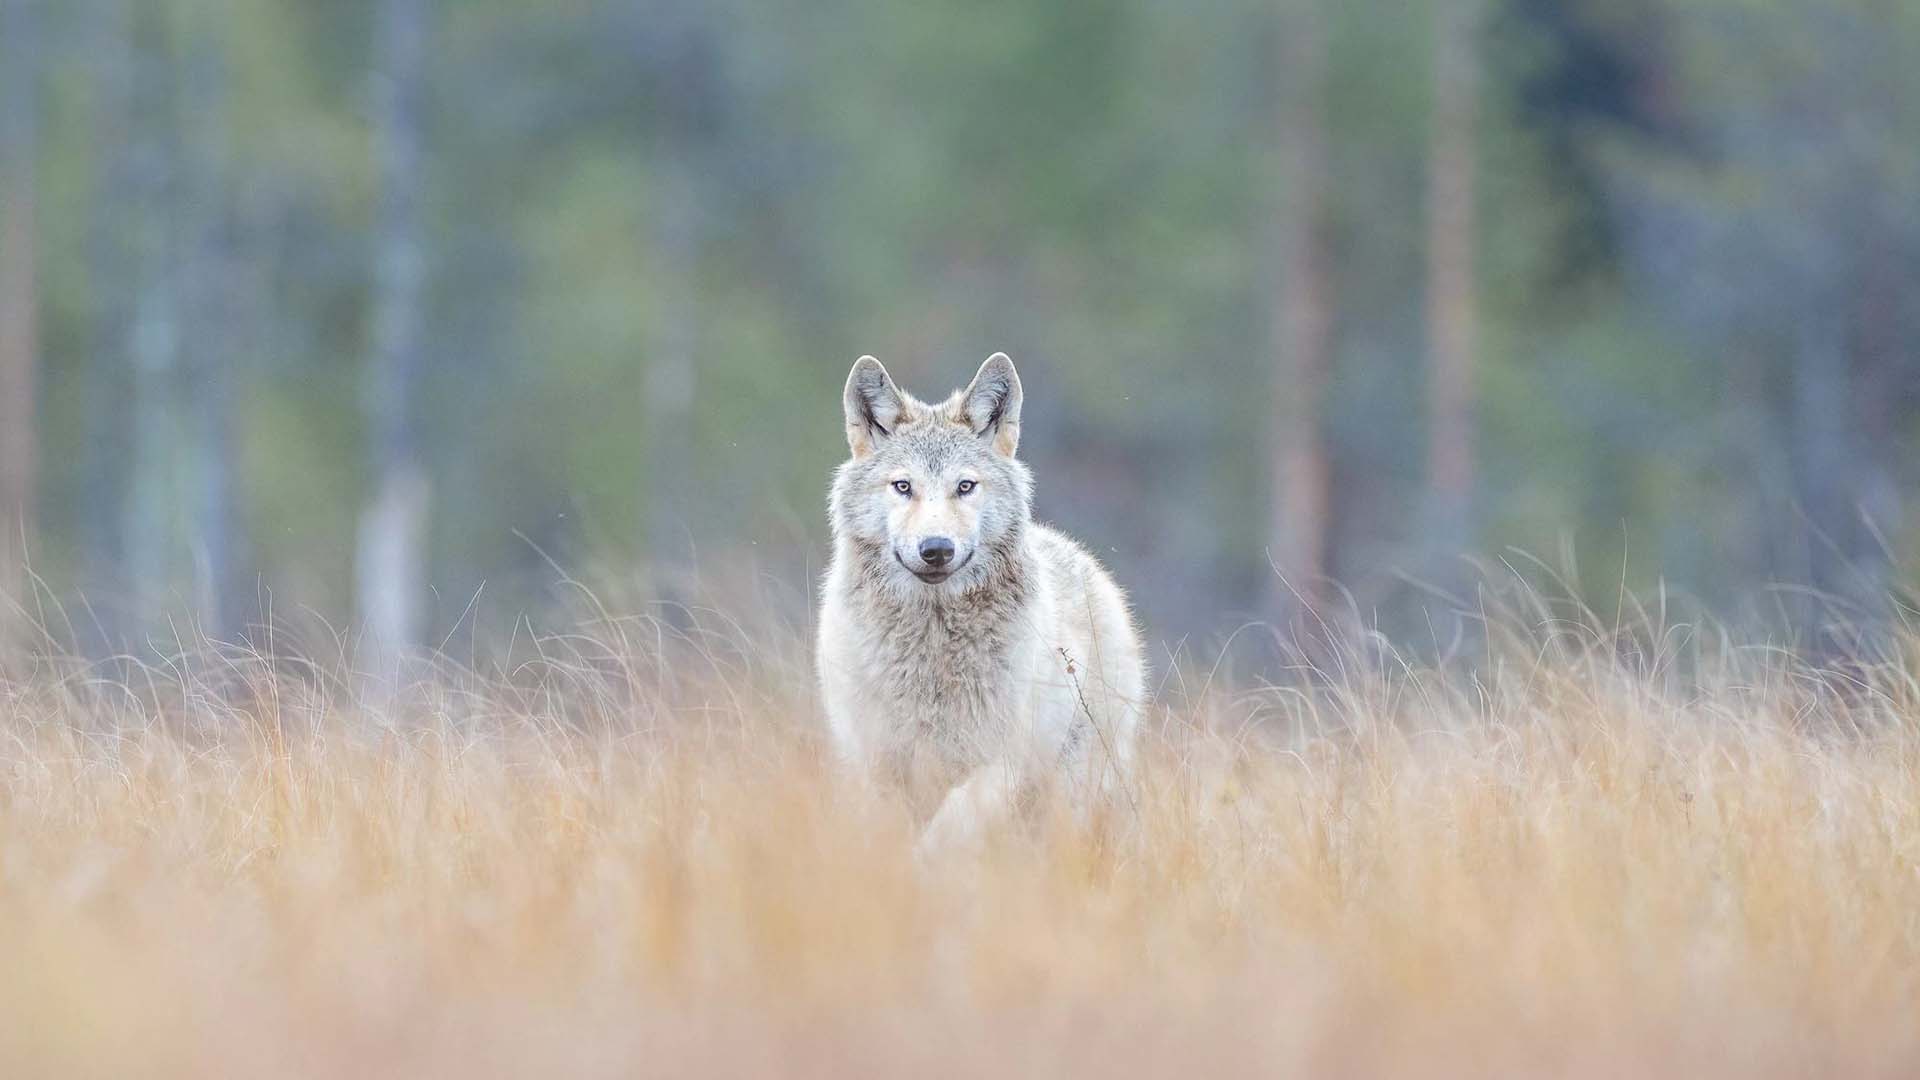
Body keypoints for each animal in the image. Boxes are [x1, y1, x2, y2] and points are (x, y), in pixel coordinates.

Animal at [816, 353, 1145, 851]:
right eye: (903, 486)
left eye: (965, 486)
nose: (936, 549)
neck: (930, 648)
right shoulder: (878, 766)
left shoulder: (997, 764)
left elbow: (944, 831)